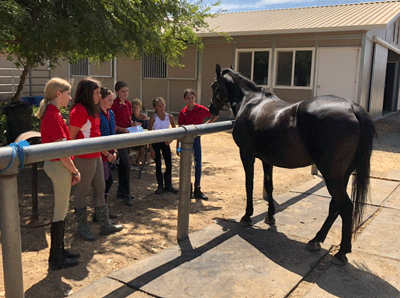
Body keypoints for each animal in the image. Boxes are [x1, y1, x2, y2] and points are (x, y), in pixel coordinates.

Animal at [211, 64, 376, 264]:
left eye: (214, 85)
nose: (211, 109)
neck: (251, 102)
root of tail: (352, 108)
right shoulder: (267, 159)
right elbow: (269, 185)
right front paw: (270, 216)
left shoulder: (246, 154)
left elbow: (249, 184)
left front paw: (247, 216)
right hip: (342, 175)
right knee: (335, 205)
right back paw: (316, 240)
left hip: (331, 174)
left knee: (344, 206)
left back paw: (341, 251)